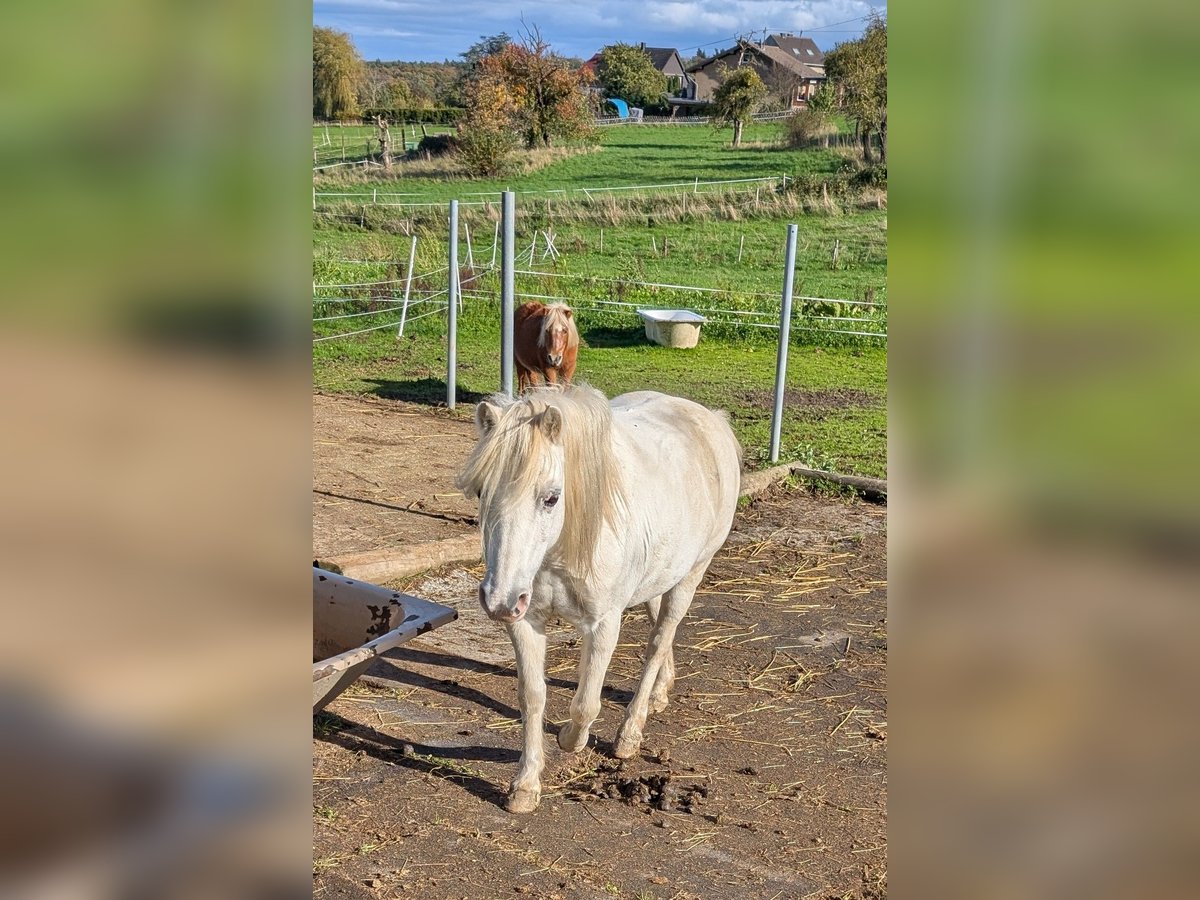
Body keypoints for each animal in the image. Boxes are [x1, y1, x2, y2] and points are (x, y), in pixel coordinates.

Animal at [456, 384, 742, 813]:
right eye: (480, 492)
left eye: (551, 498)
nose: (498, 600)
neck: (559, 550)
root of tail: (711, 419)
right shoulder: (526, 621)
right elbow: (532, 697)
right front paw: (525, 786)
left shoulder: (604, 623)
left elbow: (585, 704)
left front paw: (570, 741)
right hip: (661, 575)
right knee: (661, 632)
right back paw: (660, 693)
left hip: (691, 575)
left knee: (658, 642)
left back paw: (630, 733)